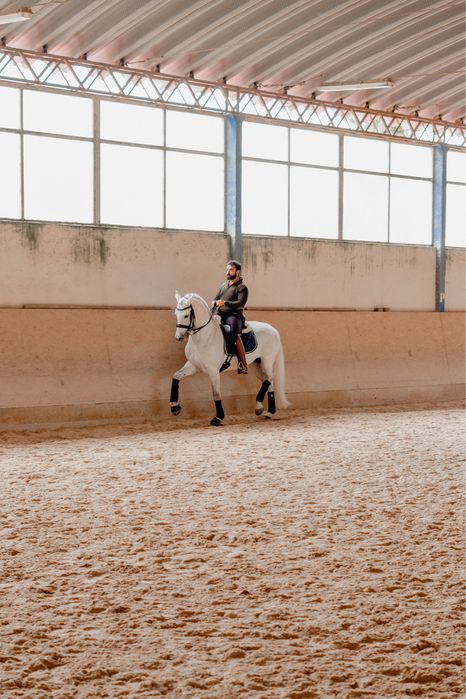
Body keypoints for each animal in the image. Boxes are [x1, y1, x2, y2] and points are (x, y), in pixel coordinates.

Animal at [170, 292, 291, 426]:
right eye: (175, 314)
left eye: (186, 315)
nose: (179, 337)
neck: (205, 337)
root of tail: (273, 329)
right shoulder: (193, 366)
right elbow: (176, 376)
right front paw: (175, 407)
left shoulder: (213, 371)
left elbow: (216, 393)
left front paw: (218, 418)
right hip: (257, 365)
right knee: (269, 382)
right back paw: (269, 412)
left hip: (267, 362)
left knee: (269, 378)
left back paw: (259, 407)